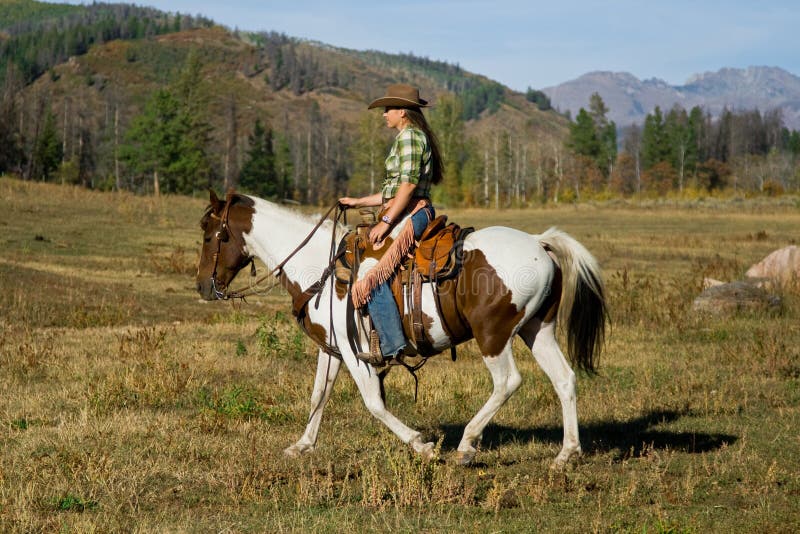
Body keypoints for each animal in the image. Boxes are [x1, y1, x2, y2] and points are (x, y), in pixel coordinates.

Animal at [196, 190, 607, 466]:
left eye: (210, 233)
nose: (202, 286)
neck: (319, 268)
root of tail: (539, 242)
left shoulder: (354, 351)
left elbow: (373, 402)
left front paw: (421, 444)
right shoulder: (331, 349)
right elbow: (318, 396)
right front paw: (302, 445)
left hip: (493, 335)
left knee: (507, 382)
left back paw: (466, 445)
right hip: (538, 329)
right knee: (564, 379)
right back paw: (567, 453)